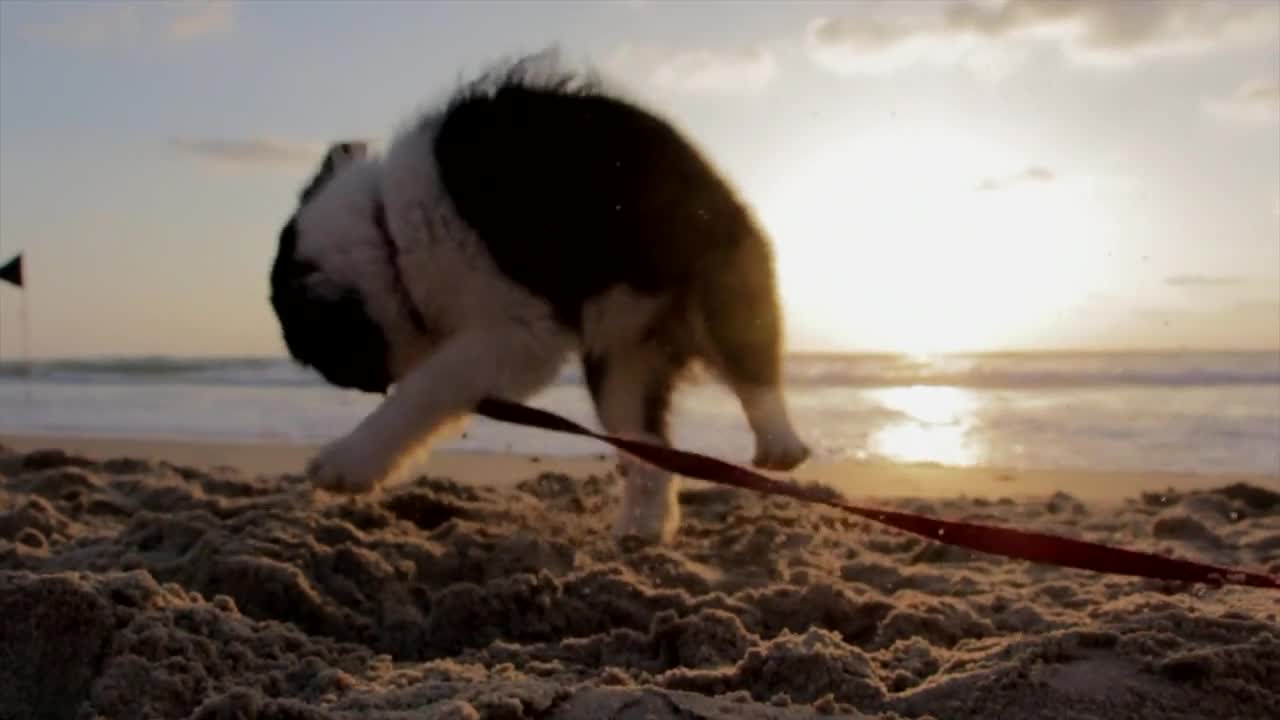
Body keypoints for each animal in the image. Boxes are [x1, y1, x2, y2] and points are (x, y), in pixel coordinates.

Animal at [270, 54, 808, 538]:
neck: (389, 241)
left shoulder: (521, 330)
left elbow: (426, 387)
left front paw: (347, 461)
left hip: (718, 286)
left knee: (752, 369)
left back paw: (780, 444)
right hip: (622, 361)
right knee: (649, 448)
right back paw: (643, 528)